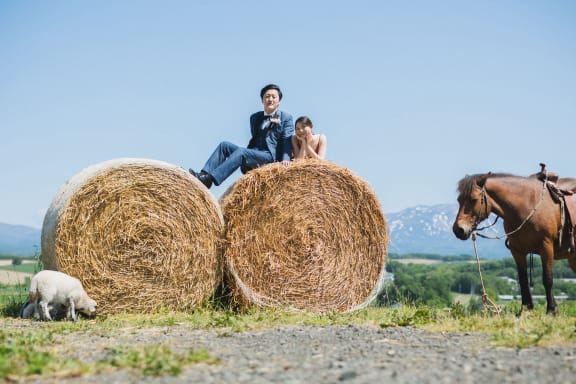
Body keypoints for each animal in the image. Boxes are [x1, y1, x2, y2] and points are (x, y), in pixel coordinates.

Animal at [452, 172, 576, 314]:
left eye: (473, 199)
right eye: (459, 200)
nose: (458, 230)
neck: (526, 206)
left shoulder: (546, 247)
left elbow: (547, 279)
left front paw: (551, 310)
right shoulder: (517, 251)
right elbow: (523, 280)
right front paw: (525, 309)